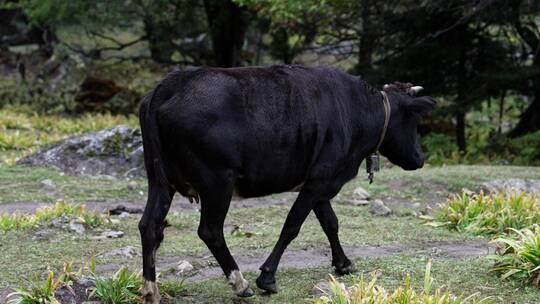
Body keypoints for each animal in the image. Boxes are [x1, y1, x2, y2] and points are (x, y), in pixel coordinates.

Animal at [137, 64, 436, 302]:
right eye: (413, 120)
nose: (420, 158)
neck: (355, 111)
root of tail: (171, 84)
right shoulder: (320, 178)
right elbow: (292, 225)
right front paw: (267, 277)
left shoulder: (321, 181)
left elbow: (330, 223)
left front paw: (343, 263)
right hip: (218, 180)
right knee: (210, 231)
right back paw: (240, 284)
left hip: (160, 180)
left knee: (149, 226)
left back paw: (151, 289)